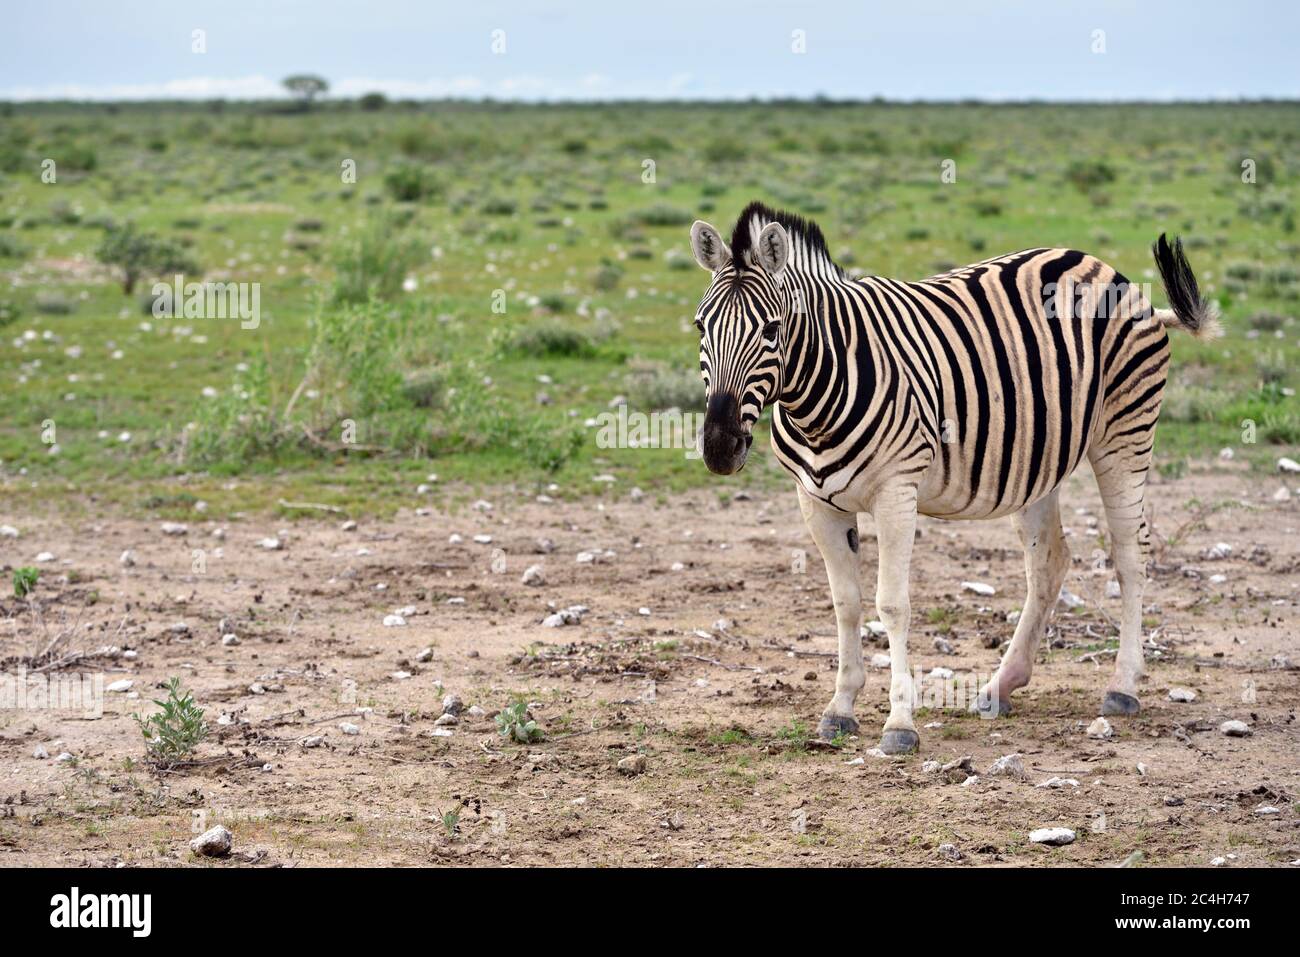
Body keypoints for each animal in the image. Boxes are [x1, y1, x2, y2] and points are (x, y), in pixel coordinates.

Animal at [688, 201, 1219, 754]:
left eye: (772, 330)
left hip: (1124, 434)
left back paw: (1122, 686)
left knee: (1130, 555)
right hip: (1038, 461)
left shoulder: (896, 492)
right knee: (1048, 562)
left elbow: (891, 604)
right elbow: (846, 603)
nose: (720, 447)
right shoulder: (816, 501)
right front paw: (840, 707)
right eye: (700, 328)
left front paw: (900, 722)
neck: (818, 394)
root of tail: (1105, 268)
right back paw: (1001, 685)